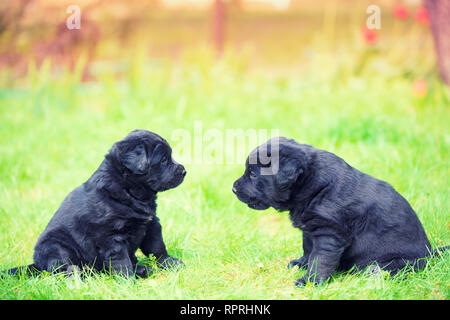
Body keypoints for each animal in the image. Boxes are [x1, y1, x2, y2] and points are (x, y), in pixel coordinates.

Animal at [5, 129, 185, 278]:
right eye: (163, 160)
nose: (184, 171)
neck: (129, 191)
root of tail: (36, 265)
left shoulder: (151, 224)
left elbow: (157, 247)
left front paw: (170, 263)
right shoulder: (111, 236)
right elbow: (121, 261)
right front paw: (127, 281)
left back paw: (141, 269)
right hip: (55, 246)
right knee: (62, 269)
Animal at [234, 136, 448, 286]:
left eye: (253, 174)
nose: (233, 188)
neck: (313, 185)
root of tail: (431, 253)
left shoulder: (330, 234)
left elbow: (320, 259)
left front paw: (310, 281)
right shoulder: (310, 230)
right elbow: (308, 249)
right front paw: (300, 264)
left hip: (392, 262)